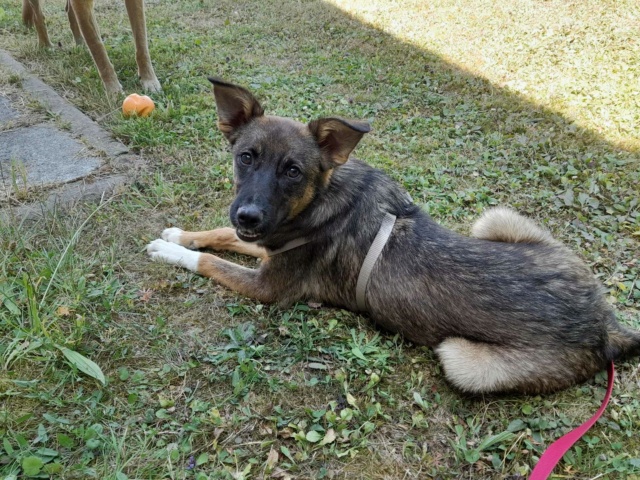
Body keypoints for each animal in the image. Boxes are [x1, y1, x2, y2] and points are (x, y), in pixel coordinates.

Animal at [146, 79, 640, 394]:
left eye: (293, 171)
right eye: (246, 157)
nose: (248, 214)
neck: (321, 199)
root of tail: (607, 325)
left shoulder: (269, 286)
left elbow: (212, 261)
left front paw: (169, 249)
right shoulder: (266, 239)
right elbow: (223, 235)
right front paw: (181, 232)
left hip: (460, 360)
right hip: (495, 221)